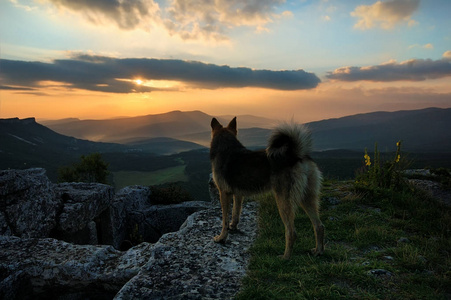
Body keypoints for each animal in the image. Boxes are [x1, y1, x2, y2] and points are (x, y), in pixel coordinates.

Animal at [211, 116, 324, 258]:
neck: (226, 148)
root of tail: (295, 155)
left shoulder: (224, 193)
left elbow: (224, 219)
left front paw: (221, 238)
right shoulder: (238, 194)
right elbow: (236, 212)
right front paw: (233, 226)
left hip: (283, 200)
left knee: (291, 232)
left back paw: (285, 257)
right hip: (307, 197)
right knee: (319, 225)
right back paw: (318, 251)